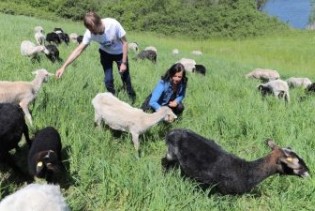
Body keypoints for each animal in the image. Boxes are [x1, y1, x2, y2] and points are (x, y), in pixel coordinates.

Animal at [163, 128, 312, 195]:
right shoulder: (224, 193)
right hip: (171, 154)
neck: (246, 171)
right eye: (297, 163)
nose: (309, 172)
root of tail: (171, 132)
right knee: (164, 162)